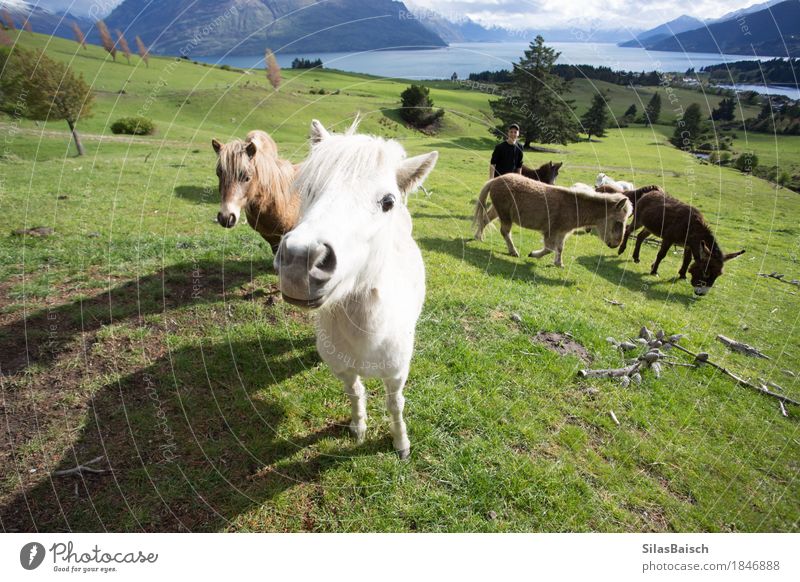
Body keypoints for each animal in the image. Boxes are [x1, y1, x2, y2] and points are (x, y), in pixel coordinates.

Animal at [274, 118, 438, 460]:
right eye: (309, 189)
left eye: (387, 202)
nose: (299, 261)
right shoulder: (344, 370)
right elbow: (355, 392)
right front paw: (359, 428)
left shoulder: (396, 375)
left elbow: (395, 405)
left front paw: (401, 444)